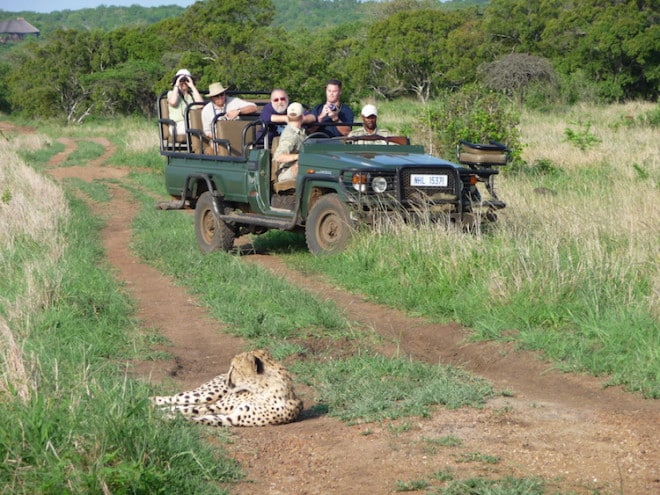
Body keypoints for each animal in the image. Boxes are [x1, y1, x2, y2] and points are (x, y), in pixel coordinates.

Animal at [150, 348, 302, 426]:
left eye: (233, 367)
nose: (226, 379)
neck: (262, 391)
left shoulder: (233, 418)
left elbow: (198, 417)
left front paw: (168, 417)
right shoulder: (219, 406)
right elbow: (188, 410)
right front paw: (163, 413)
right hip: (208, 394)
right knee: (175, 399)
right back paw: (150, 401)